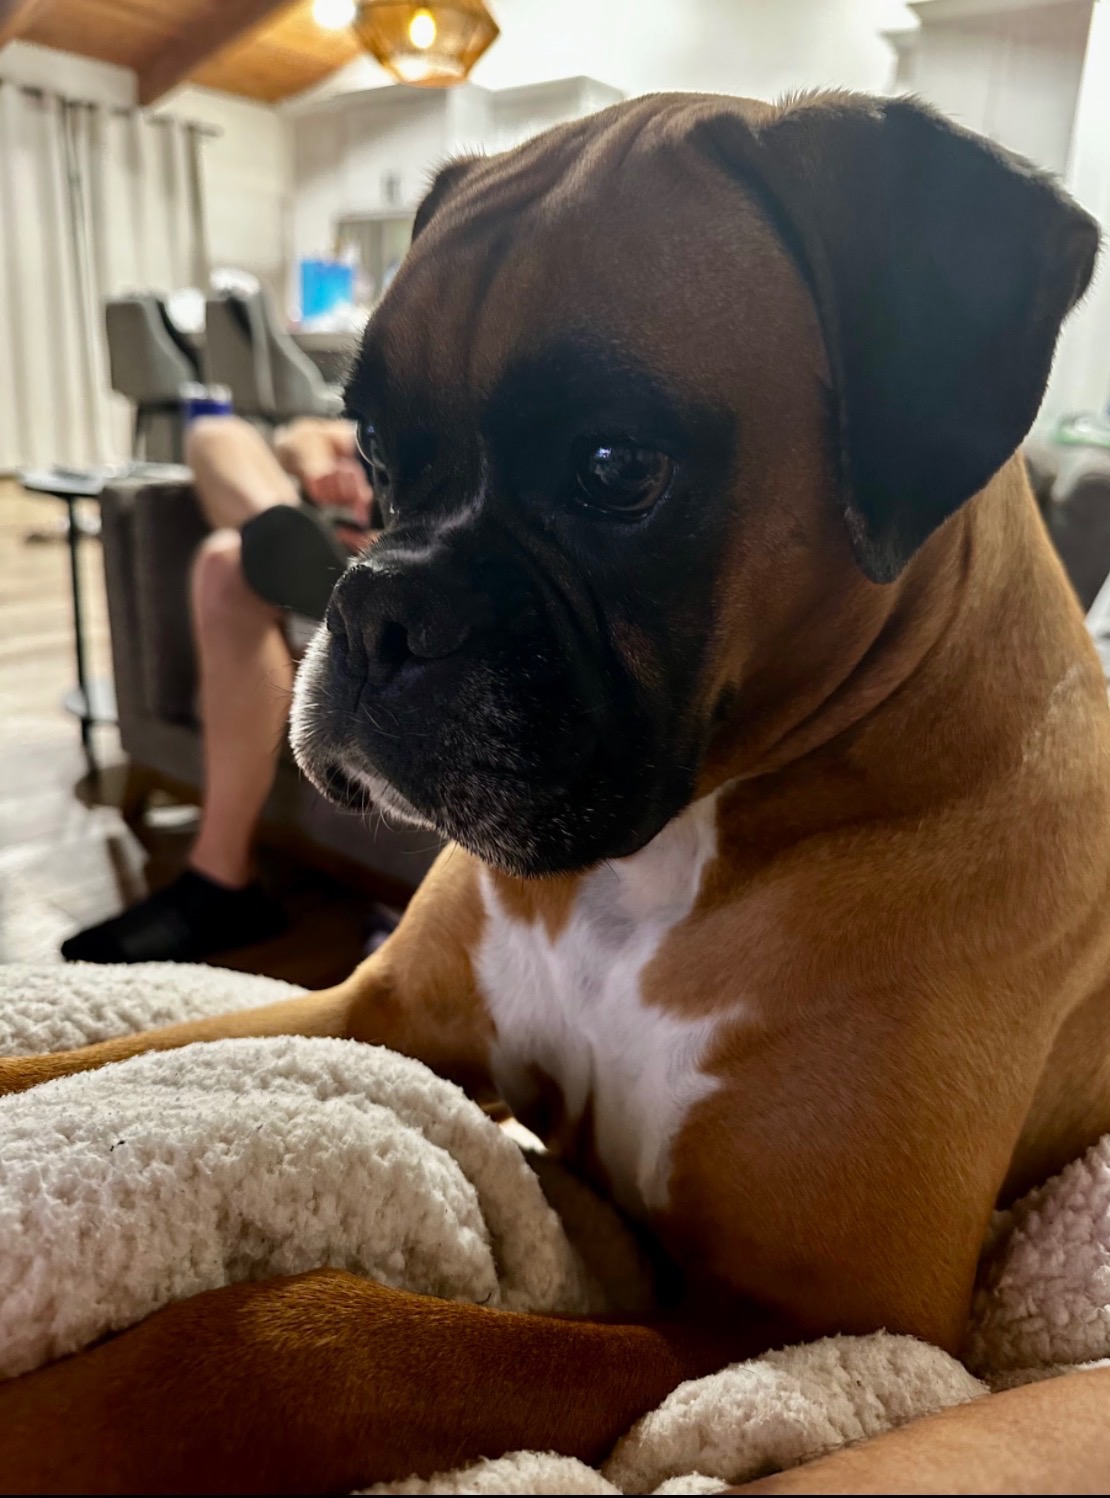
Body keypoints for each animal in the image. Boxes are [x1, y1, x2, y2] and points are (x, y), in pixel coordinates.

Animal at [1, 90, 1107, 1495]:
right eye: (368, 448)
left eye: (615, 466)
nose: (371, 607)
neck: (664, 858)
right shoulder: (368, 1008)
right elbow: (105, 1058)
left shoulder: (810, 1318)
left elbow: (318, 1347)